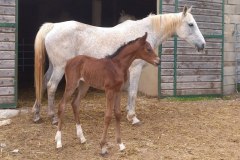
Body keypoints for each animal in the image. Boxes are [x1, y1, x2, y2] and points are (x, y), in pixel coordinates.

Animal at [32, 6, 205, 125]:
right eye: (191, 24)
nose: (203, 45)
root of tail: (53, 26)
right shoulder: (135, 70)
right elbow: (133, 92)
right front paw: (133, 117)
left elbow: (126, 92)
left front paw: (127, 112)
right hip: (60, 68)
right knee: (51, 86)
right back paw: (53, 117)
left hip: (54, 66)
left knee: (43, 83)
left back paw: (37, 114)